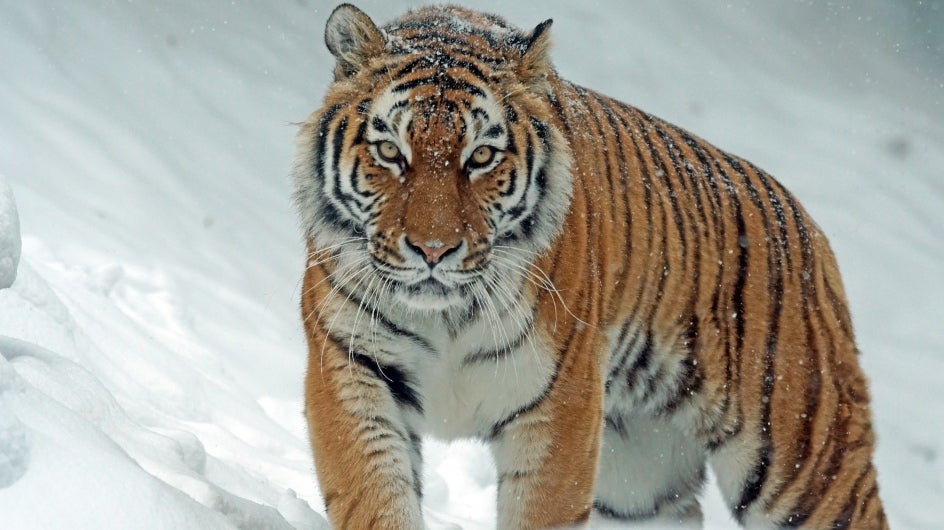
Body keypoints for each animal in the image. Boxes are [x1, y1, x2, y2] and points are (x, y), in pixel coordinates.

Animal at [292, 4, 887, 529]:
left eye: (481, 157)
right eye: (391, 152)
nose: (433, 250)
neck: (447, 317)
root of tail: (810, 229)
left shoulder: (561, 405)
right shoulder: (352, 368)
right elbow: (375, 498)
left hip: (805, 465)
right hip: (639, 483)